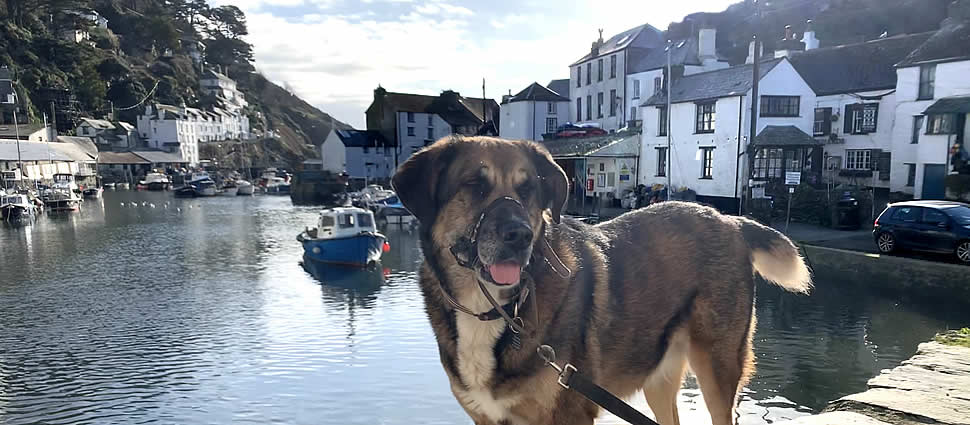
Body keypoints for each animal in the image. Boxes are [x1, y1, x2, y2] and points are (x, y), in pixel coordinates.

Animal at [392, 136, 808, 424]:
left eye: (528, 190)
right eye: (474, 186)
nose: (520, 235)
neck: (498, 309)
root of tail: (730, 219)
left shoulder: (571, 414)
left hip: (718, 369)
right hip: (659, 375)